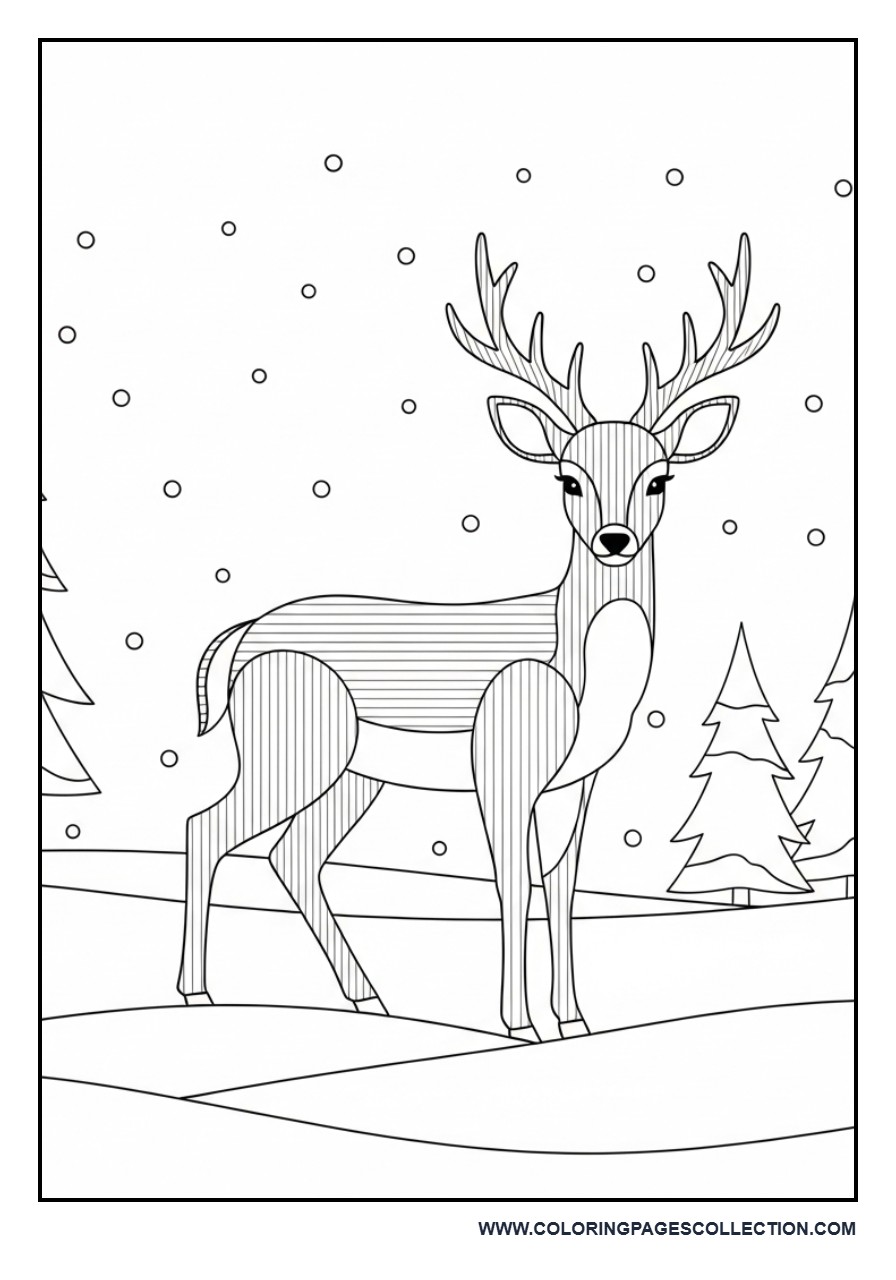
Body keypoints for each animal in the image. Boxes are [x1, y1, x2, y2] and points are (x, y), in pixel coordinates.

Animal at [177, 232, 779, 1041]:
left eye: (660, 478)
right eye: (568, 479)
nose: (614, 540)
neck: (581, 676)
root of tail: (241, 638)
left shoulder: (577, 781)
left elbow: (561, 883)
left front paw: (577, 1020)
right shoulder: (502, 758)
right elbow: (512, 882)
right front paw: (518, 1025)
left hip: (356, 769)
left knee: (292, 854)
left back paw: (371, 998)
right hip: (293, 743)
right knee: (204, 826)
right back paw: (198, 993)